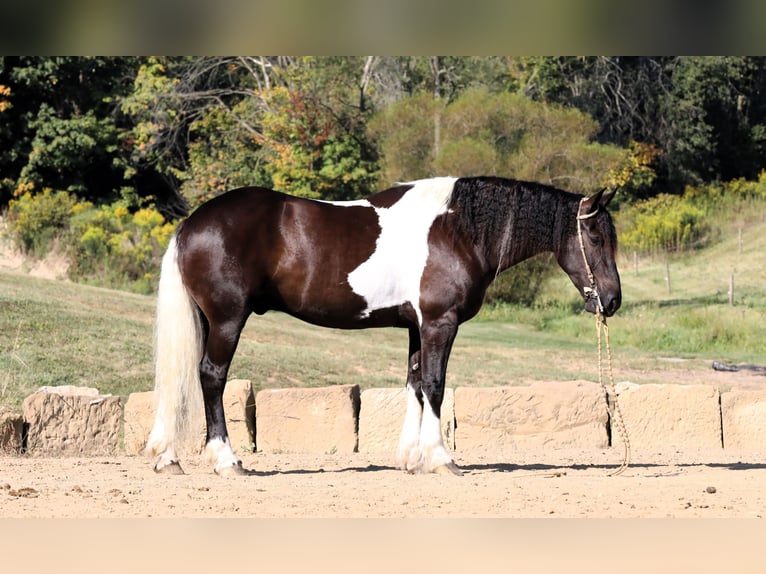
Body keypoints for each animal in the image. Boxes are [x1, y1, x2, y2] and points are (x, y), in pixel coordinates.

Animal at [146, 176, 624, 476]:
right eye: (596, 237)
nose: (613, 300)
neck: (456, 229)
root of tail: (191, 223)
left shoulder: (417, 327)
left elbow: (414, 384)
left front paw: (411, 458)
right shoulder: (439, 323)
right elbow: (434, 384)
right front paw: (440, 458)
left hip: (206, 320)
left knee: (184, 379)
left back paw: (169, 457)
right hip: (228, 319)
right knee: (212, 377)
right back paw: (227, 460)